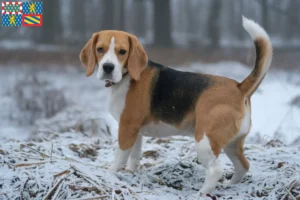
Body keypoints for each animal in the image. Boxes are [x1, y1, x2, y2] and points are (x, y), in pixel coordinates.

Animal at [79, 16, 272, 194]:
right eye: (100, 49)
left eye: (122, 51)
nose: (108, 67)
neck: (127, 77)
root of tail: (239, 87)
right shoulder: (135, 131)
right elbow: (134, 157)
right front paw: (131, 174)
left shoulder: (126, 128)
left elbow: (119, 156)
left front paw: (110, 174)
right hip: (232, 143)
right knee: (243, 166)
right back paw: (229, 185)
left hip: (204, 140)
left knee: (215, 170)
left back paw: (201, 193)